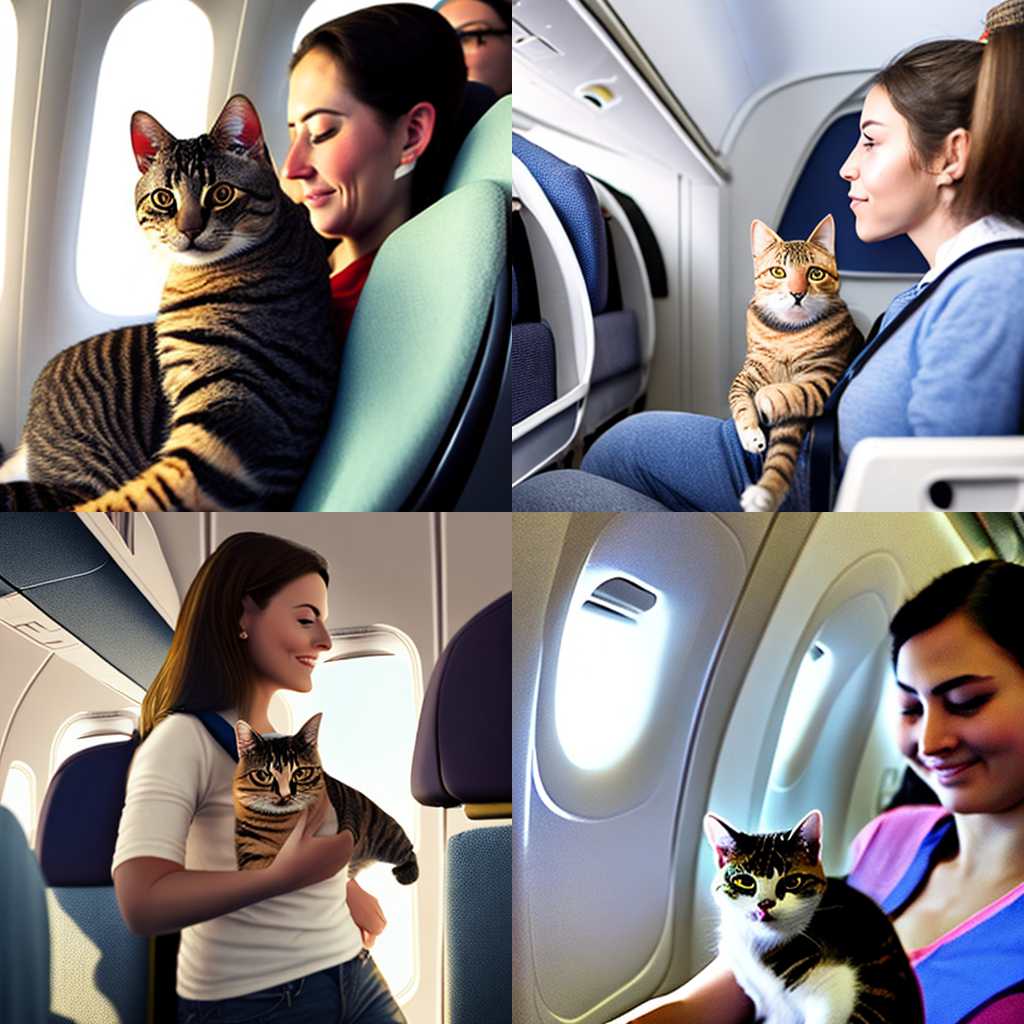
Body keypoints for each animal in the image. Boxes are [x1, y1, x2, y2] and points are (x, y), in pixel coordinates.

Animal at [234, 708, 417, 884]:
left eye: (300, 773)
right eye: (263, 775)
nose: (285, 795)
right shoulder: (253, 853)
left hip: (385, 837)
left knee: (407, 848)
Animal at [729, 217, 864, 516]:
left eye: (815, 273)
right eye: (778, 272)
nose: (797, 293)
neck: (787, 335)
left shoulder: (825, 379)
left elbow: (790, 391)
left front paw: (766, 401)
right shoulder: (746, 374)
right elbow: (739, 402)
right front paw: (751, 434)